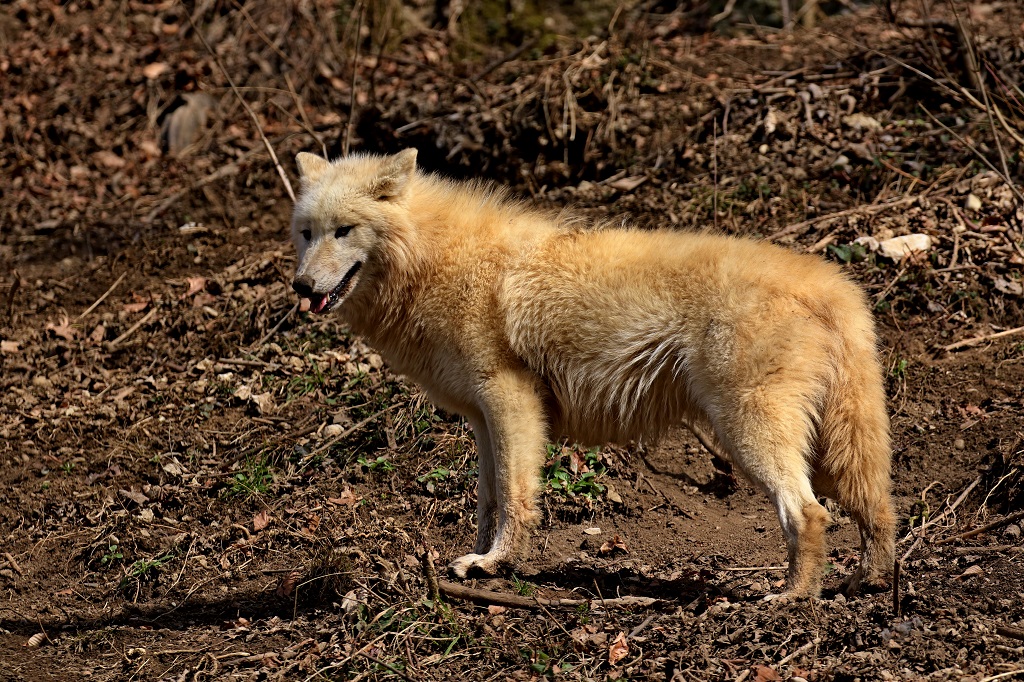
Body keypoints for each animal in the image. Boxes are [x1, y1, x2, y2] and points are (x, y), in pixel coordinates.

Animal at [289, 148, 897, 598]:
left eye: (344, 230)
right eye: (306, 232)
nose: (300, 287)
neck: (433, 258)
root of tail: (834, 286)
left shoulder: (510, 400)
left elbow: (515, 496)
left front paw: (495, 565)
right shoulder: (483, 419)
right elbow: (488, 497)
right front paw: (479, 559)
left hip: (748, 434)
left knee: (810, 514)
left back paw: (791, 598)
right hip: (830, 448)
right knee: (875, 509)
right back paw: (864, 584)